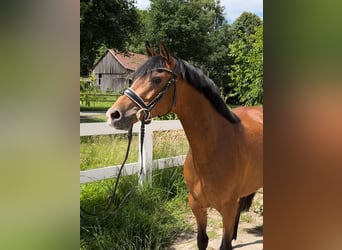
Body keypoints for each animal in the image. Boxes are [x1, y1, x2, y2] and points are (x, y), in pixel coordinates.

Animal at [105, 44, 264, 249]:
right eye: (134, 78)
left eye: (157, 79)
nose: (113, 115)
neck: (213, 149)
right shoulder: (196, 206)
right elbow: (202, 240)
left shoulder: (227, 209)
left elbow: (224, 244)